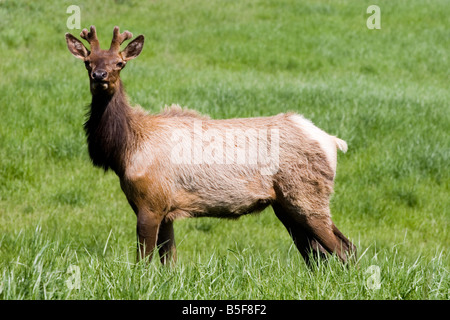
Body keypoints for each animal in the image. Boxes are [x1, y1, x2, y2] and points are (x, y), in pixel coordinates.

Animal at [66, 25, 356, 266]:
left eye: (120, 63)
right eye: (88, 62)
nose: (100, 75)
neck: (125, 150)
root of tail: (333, 141)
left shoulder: (150, 202)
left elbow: (143, 261)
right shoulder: (166, 208)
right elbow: (169, 261)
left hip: (308, 195)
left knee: (344, 248)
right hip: (286, 204)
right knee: (318, 254)